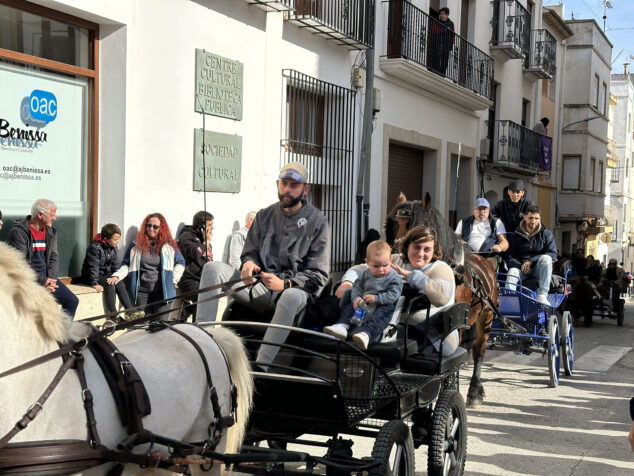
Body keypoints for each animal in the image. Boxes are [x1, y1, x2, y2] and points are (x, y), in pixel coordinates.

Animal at [386, 195, 498, 408]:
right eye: (394, 224)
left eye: (418, 226)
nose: (398, 255)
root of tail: (486, 263)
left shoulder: (456, 324)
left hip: (486, 316)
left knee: (478, 352)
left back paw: (474, 391)